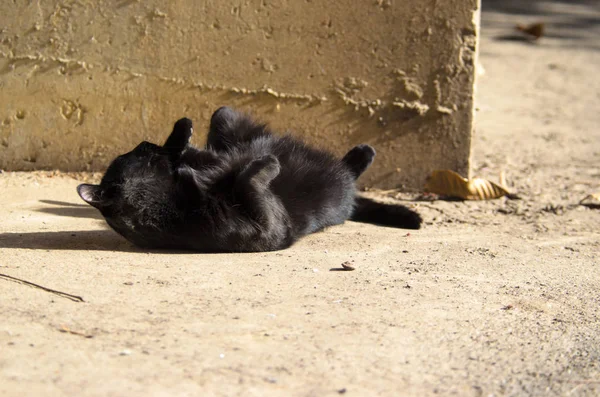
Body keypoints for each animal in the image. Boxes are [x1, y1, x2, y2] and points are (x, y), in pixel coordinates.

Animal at [77, 106, 420, 251]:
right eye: (137, 151)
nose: (146, 142)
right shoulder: (268, 225)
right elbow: (248, 181)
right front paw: (268, 161)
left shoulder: (205, 161)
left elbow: (200, 158)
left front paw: (183, 132)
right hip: (336, 193)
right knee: (348, 172)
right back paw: (362, 153)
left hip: (226, 119)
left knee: (222, 116)